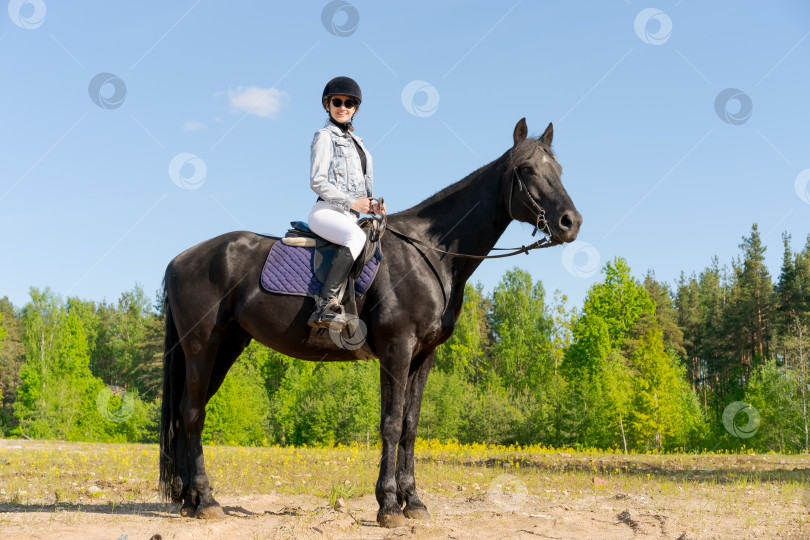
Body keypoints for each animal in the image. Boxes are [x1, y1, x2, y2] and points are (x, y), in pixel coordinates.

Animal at [158, 118, 580, 528]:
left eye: (559, 169)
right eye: (527, 169)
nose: (570, 222)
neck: (431, 253)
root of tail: (181, 258)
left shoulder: (423, 356)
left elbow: (410, 425)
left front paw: (414, 502)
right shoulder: (397, 349)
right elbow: (391, 423)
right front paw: (389, 505)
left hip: (226, 346)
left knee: (185, 413)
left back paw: (187, 499)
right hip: (202, 347)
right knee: (192, 413)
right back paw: (206, 500)